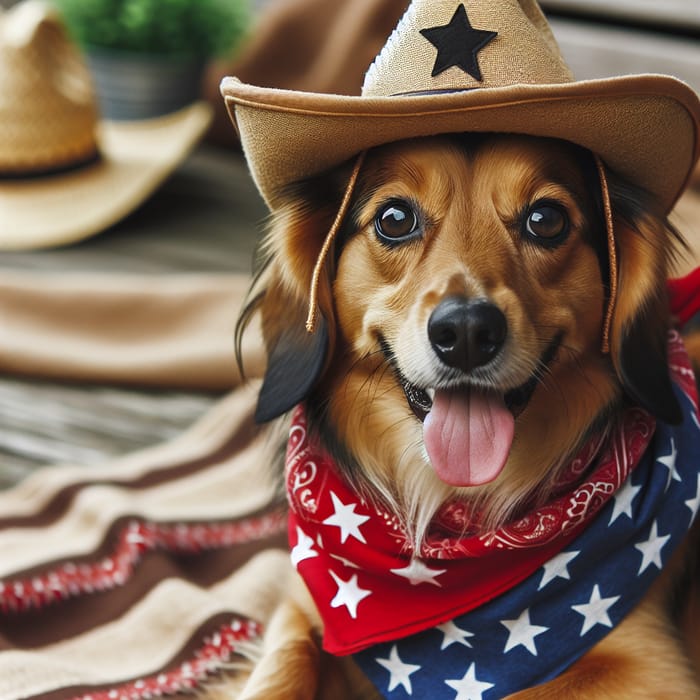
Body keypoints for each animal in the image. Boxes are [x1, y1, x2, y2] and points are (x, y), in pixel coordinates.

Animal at [231, 133, 700, 700]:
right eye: (394, 218)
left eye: (546, 219)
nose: (468, 332)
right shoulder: (302, 606)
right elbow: (283, 666)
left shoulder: (652, 668)